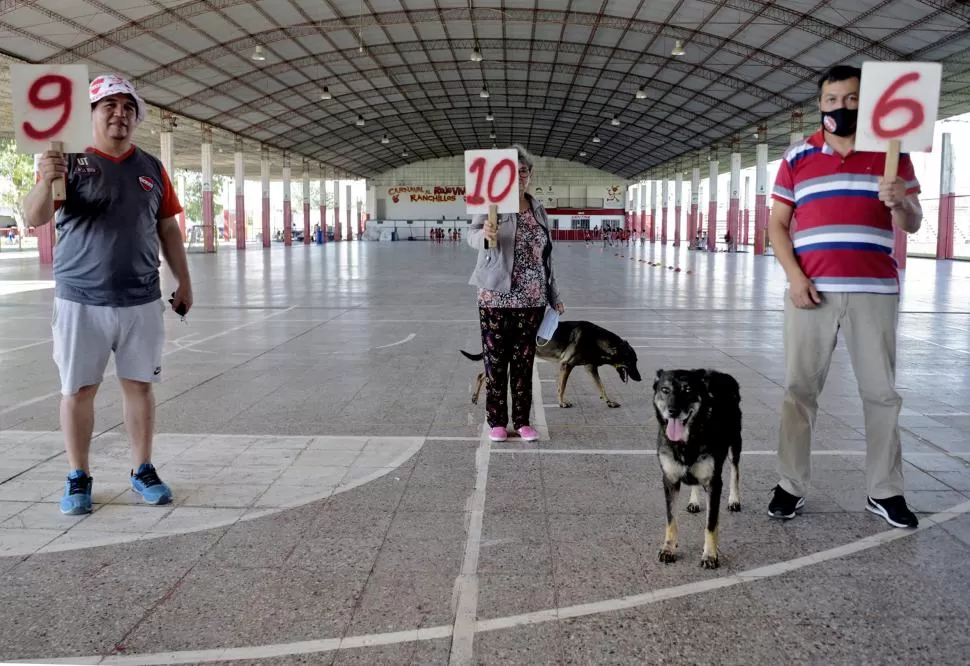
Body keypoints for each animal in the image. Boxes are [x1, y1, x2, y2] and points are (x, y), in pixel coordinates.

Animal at [652, 368, 740, 564]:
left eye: (687, 390)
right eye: (665, 390)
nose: (673, 411)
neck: (685, 441)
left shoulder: (714, 483)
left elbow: (711, 524)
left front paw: (710, 554)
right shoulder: (669, 481)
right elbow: (671, 520)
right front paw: (668, 548)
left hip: (735, 445)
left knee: (735, 472)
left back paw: (734, 500)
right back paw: (694, 501)